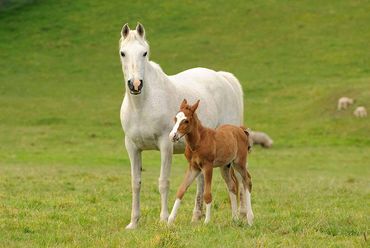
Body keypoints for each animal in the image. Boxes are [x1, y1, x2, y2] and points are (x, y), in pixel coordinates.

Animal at [120, 23, 244, 229]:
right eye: (123, 53)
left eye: (145, 53)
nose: (135, 85)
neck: (143, 105)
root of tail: (223, 78)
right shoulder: (132, 147)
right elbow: (135, 183)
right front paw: (133, 222)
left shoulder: (165, 145)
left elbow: (163, 182)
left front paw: (163, 219)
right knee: (202, 180)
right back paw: (197, 216)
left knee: (237, 179)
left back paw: (241, 214)